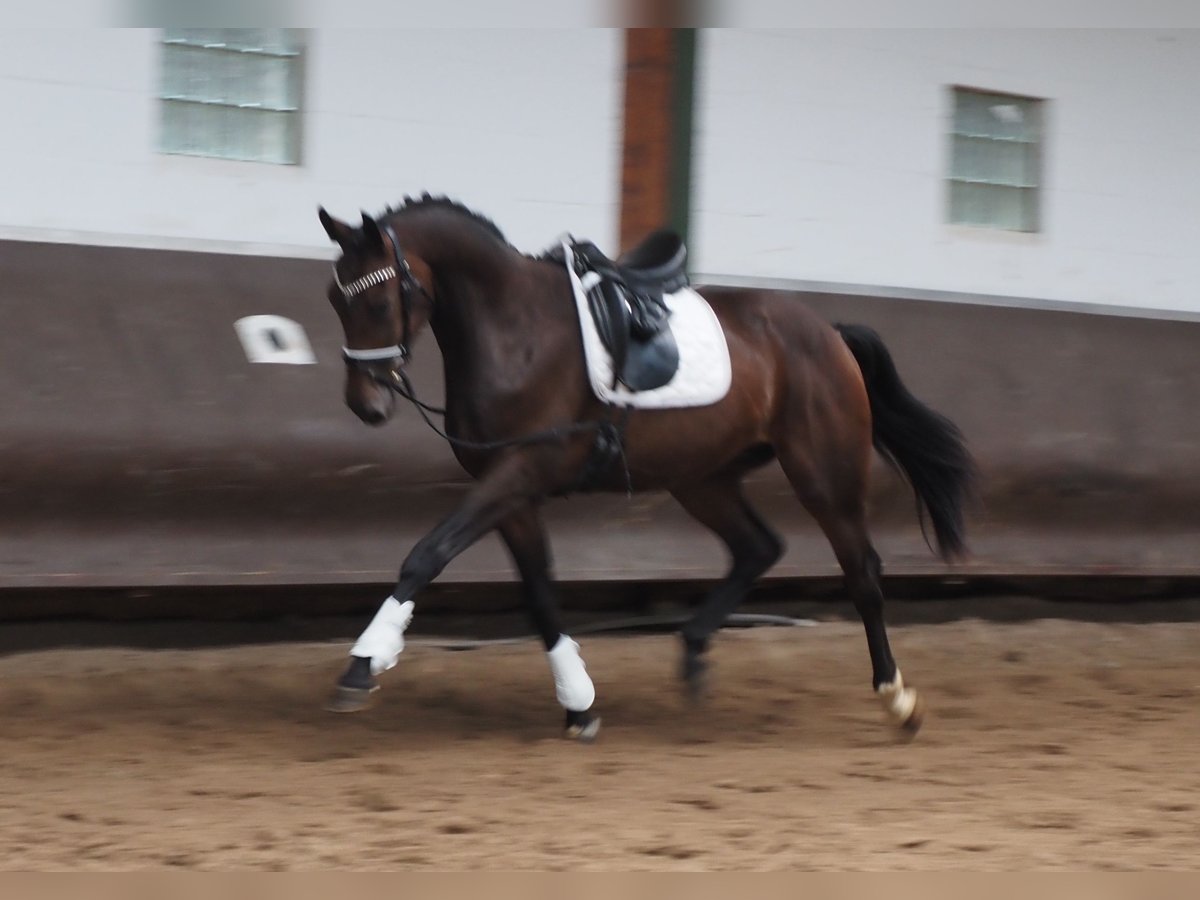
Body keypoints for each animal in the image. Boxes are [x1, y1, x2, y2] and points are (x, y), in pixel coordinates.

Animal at [314, 195, 969, 739]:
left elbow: (427, 553)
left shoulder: (522, 470)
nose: (366, 405)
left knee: (862, 572)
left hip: (824, 475)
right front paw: (579, 704)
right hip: (700, 478)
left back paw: (897, 699)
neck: (513, 330)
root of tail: (829, 334)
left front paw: (364, 663)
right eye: (334, 299)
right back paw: (695, 651)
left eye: (378, 300)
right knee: (759, 546)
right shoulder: (511, 490)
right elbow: (538, 590)